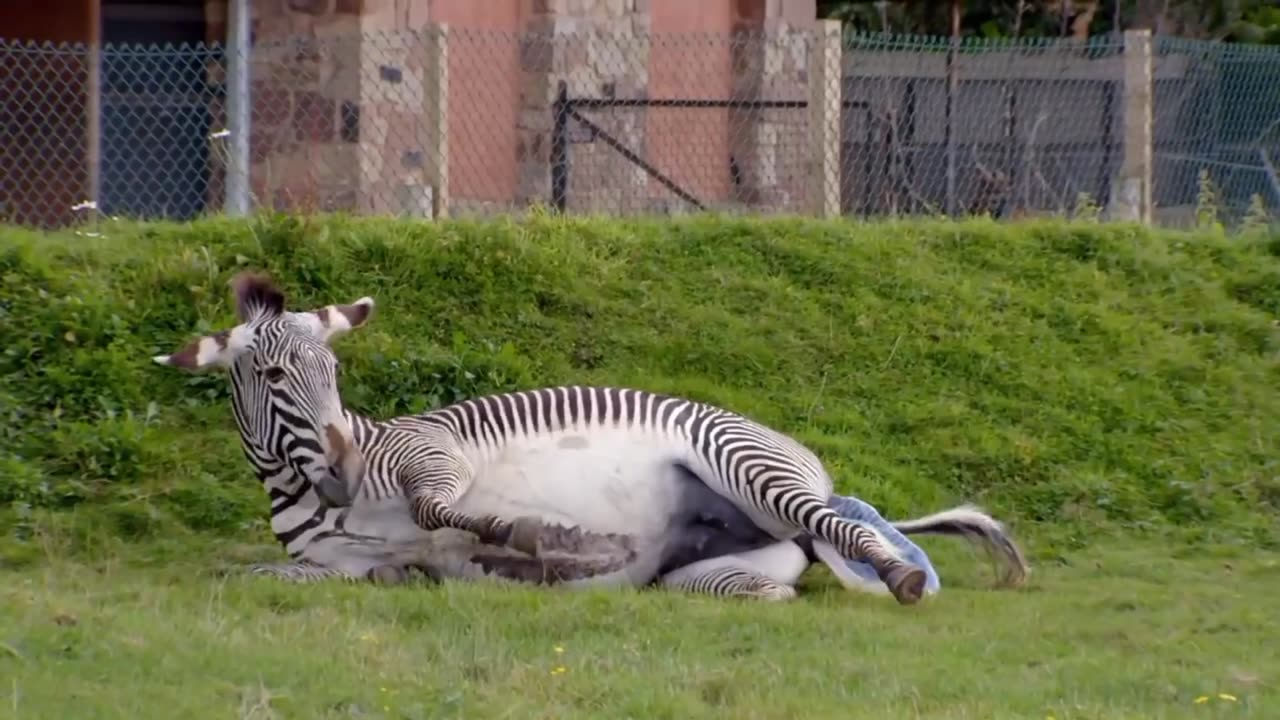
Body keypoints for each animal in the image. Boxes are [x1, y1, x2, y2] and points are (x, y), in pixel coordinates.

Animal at [152, 269, 1029, 599]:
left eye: (332, 370)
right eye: (274, 378)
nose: (341, 470)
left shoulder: (431, 454)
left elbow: (442, 510)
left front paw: (539, 537)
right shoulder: (340, 567)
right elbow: (255, 574)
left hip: (744, 464)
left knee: (841, 524)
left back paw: (902, 575)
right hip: (724, 567)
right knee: (762, 583)